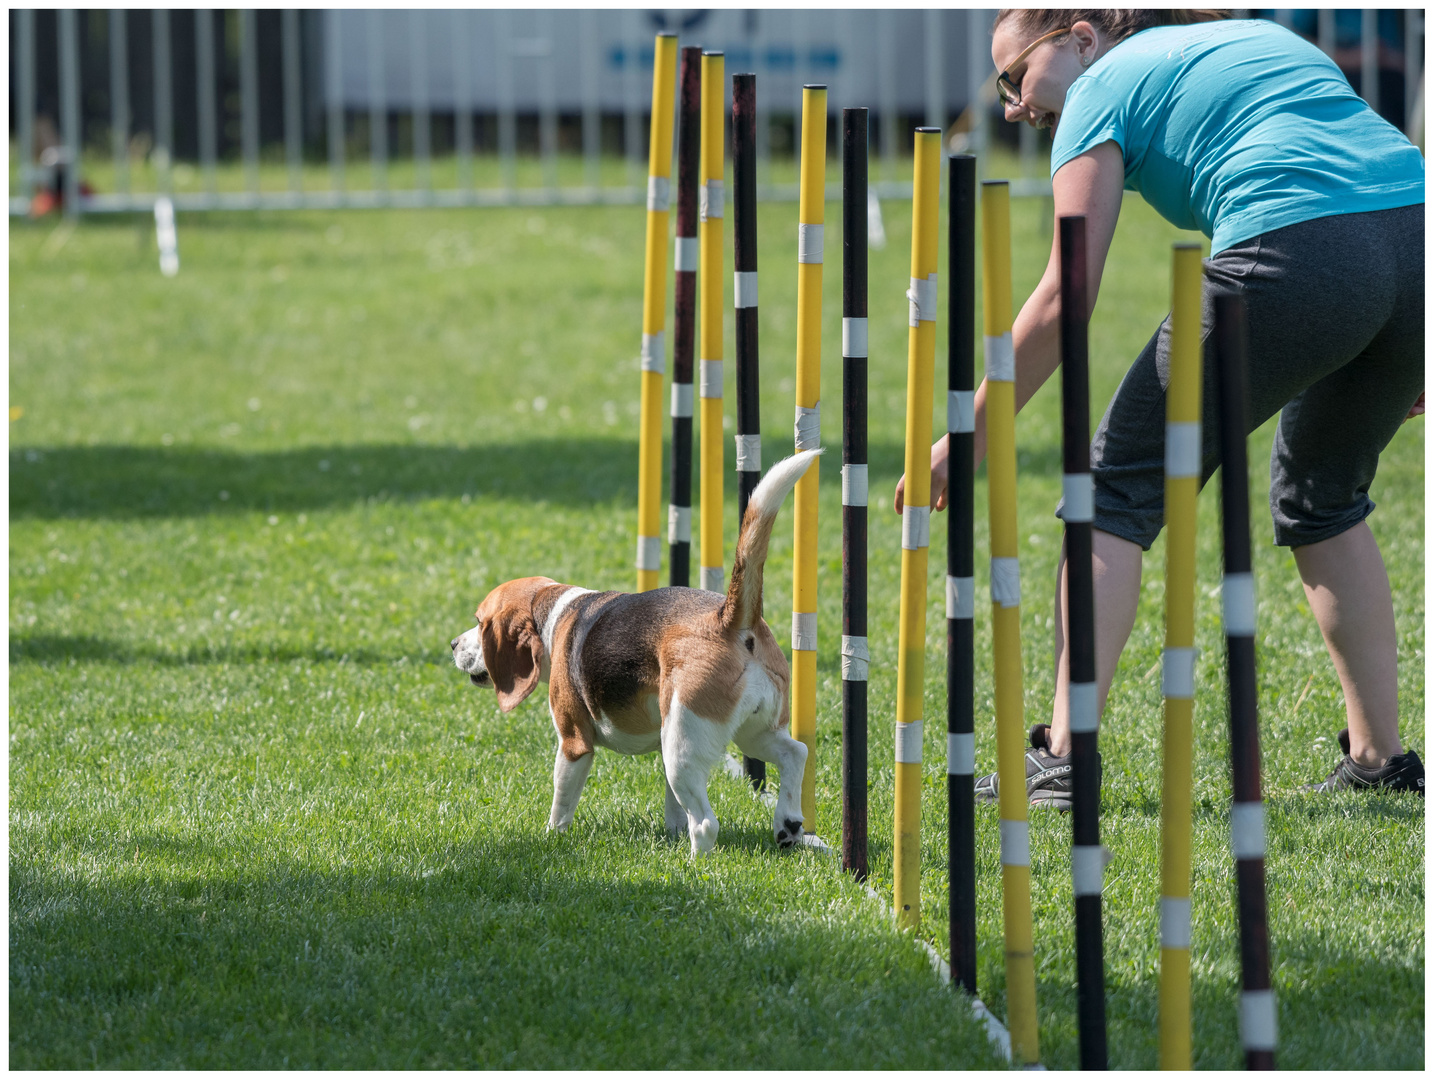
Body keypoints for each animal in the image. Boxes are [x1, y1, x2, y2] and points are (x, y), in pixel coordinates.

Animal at [453, 447, 825, 849]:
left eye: (479, 622)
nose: (454, 644)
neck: (555, 612)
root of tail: (728, 619)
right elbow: (673, 807)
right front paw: (671, 833)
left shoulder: (573, 742)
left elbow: (562, 800)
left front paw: (552, 838)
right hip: (751, 733)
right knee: (794, 752)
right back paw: (787, 824)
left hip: (684, 746)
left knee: (705, 822)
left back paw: (697, 860)